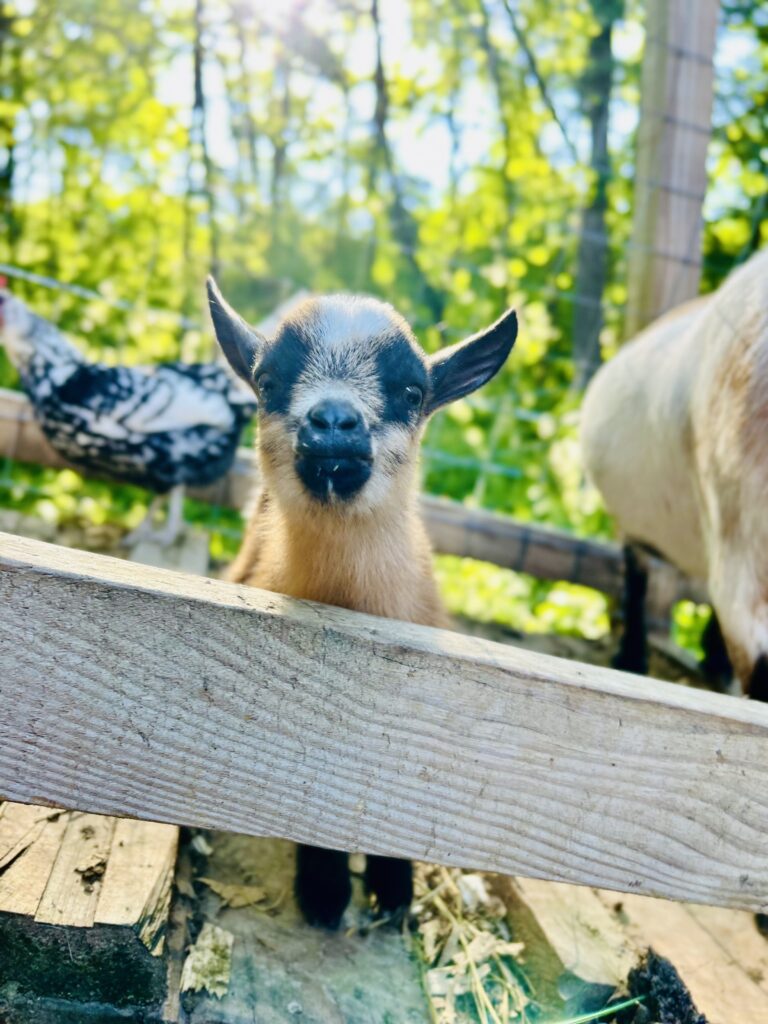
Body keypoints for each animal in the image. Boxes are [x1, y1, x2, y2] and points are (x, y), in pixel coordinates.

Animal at [207, 278, 518, 928]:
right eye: (268, 381)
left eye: (412, 391)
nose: (332, 423)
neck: (351, 607)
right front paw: (325, 895)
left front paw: (392, 891)